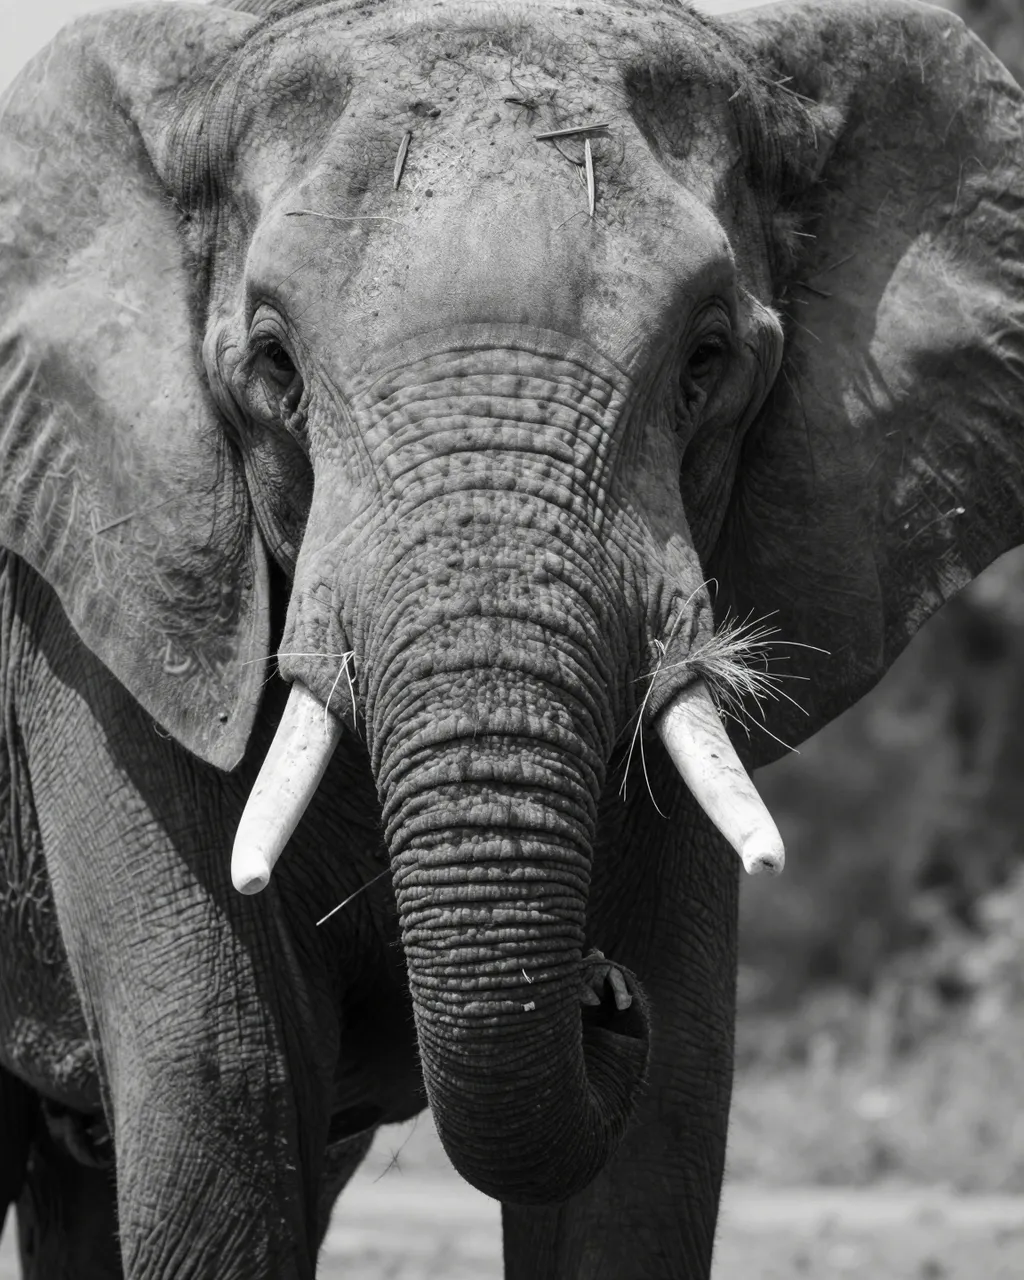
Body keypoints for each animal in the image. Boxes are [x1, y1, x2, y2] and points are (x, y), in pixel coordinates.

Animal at [0, 0, 1022, 1274]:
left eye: (704, 362)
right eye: (275, 367)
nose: (599, 989)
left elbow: (655, 1144)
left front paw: (640, 1007)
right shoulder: (111, 611)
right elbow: (224, 1093)